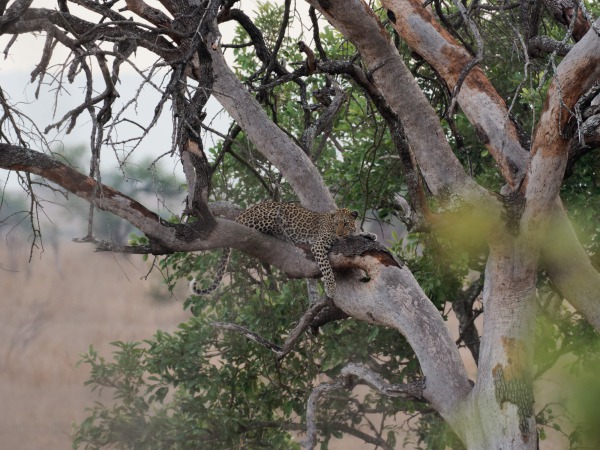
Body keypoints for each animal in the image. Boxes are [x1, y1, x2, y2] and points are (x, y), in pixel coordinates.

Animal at [190, 201, 376, 298]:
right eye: (336, 224)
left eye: (345, 223)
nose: (339, 233)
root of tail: (242, 214)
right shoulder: (318, 244)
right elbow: (327, 268)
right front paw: (330, 288)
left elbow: (357, 233)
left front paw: (369, 234)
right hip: (270, 214)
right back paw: (285, 236)